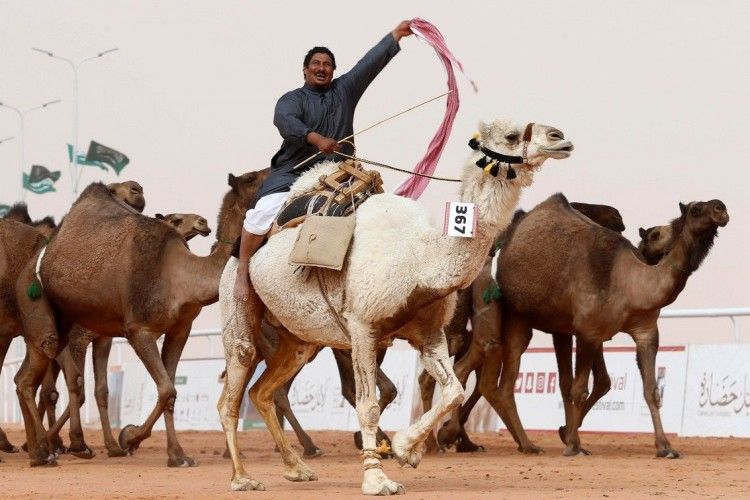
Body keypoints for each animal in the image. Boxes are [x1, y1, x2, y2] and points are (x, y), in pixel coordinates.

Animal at [13, 170, 268, 466]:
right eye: (251, 178)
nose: (202, 222)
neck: (181, 275)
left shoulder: (180, 329)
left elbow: (170, 390)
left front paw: (177, 455)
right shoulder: (138, 330)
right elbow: (165, 389)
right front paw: (128, 437)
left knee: (24, 379)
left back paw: (38, 450)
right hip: (40, 307)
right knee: (40, 373)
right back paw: (50, 448)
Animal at [217, 118, 576, 496]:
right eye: (510, 135)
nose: (559, 138)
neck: (419, 260)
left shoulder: (429, 332)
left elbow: (453, 391)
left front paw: (407, 449)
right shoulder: (362, 328)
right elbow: (369, 404)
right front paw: (377, 479)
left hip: (300, 338)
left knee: (262, 391)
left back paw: (296, 467)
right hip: (238, 311)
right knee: (232, 389)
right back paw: (242, 478)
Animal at [496, 194, 732, 458]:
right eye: (695, 209)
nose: (720, 208)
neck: (630, 285)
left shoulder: (646, 331)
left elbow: (651, 390)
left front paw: (665, 447)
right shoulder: (589, 332)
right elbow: (580, 389)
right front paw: (572, 445)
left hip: (560, 325)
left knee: (562, 379)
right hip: (516, 315)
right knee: (509, 383)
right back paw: (530, 444)